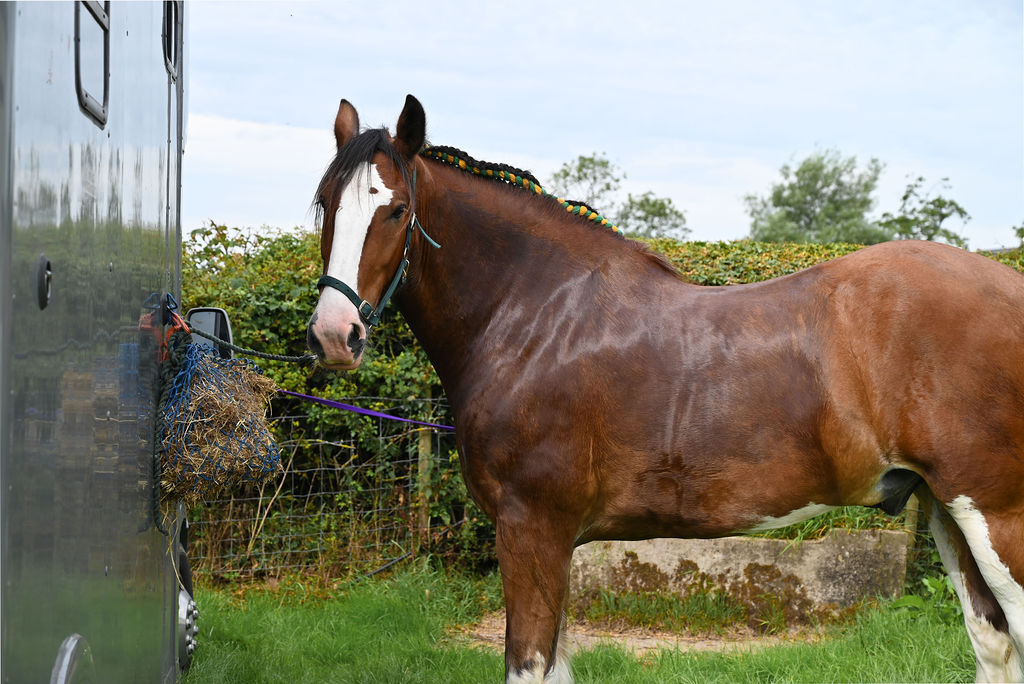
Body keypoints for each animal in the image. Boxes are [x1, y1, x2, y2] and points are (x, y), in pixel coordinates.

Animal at [307, 96, 1024, 684]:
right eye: (323, 204)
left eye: (396, 209)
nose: (334, 335)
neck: (536, 316)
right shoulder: (551, 540)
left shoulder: (531, 528)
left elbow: (528, 664)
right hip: (945, 506)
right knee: (993, 642)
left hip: (993, 513)